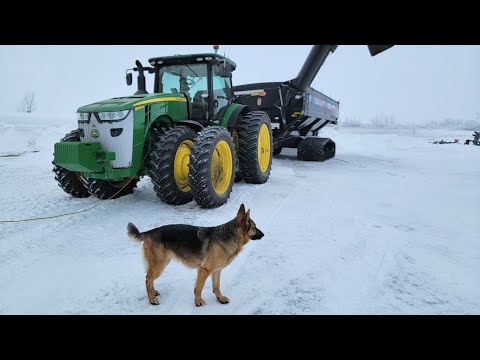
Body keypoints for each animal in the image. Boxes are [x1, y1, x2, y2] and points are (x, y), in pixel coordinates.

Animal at [126, 204, 262, 306]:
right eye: (254, 227)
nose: (264, 234)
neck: (230, 236)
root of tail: (150, 232)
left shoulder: (216, 271)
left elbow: (216, 286)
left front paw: (220, 298)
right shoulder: (204, 270)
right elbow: (199, 287)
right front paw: (198, 301)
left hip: (161, 264)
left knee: (150, 278)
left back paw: (153, 293)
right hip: (160, 265)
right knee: (148, 279)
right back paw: (152, 299)